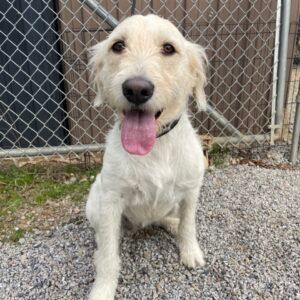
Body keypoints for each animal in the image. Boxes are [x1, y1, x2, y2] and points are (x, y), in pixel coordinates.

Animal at [86, 14, 207, 300]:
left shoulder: (191, 190)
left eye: (169, 48)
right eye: (118, 46)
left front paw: (190, 251)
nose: (137, 89)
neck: (155, 148)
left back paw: (171, 223)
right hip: (94, 202)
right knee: (103, 237)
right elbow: (108, 257)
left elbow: (189, 225)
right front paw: (103, 289)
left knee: (168, 218)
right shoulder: (111, 199)